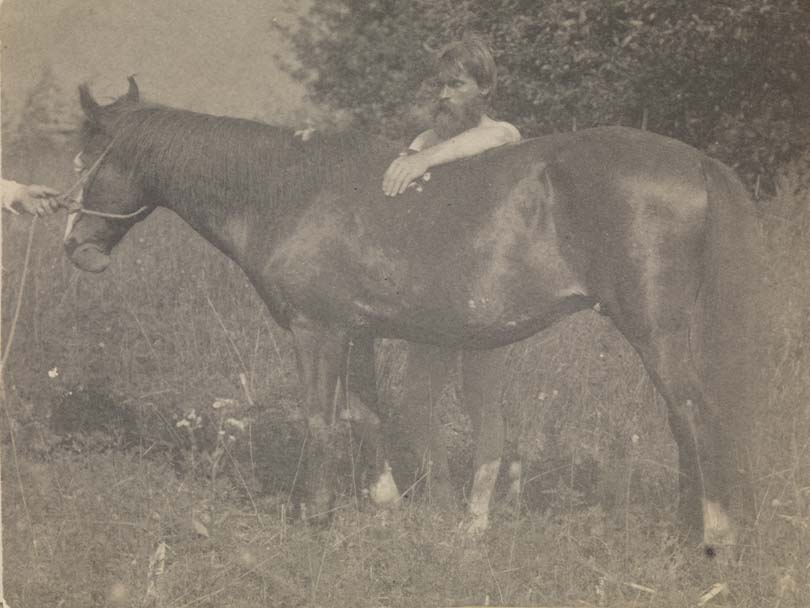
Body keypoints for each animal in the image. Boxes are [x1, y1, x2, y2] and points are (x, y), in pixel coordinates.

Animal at [65, 78, 759, 551]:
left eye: (88, 156)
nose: (76, 246)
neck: (290, 191)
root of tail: (697, 162)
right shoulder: (359, 333)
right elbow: (370, 416)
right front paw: (387, 503)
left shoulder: (316, 331)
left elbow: (320, 420)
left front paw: (317, 517)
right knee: (681, 423)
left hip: (655, 331)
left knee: (697, 416)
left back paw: (713, 538)